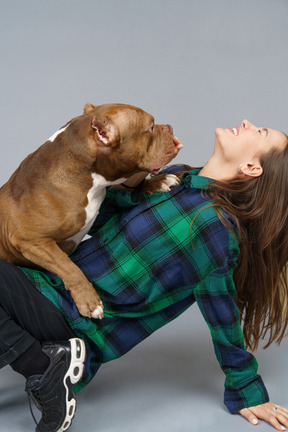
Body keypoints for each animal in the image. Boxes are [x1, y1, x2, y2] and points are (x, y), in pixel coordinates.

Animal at [0, 101, 182, 318]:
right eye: (151, 127)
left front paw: (158, 182)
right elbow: (68, 267)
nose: (170, 127)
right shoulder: (31, 241)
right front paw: (89, 301)